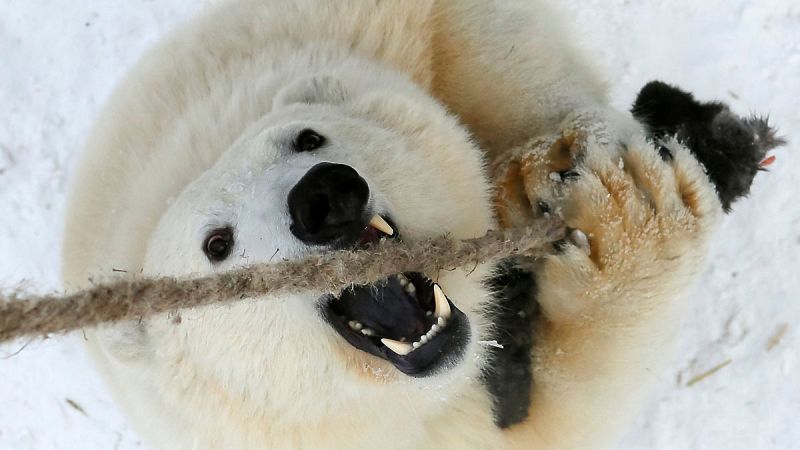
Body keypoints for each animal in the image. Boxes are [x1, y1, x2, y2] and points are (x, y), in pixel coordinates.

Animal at [61, 1, 767, 448]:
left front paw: (564, 178)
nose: (324, 196)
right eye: (216, 244)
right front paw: (630, 221)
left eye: (307, 137)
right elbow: (553, 426)